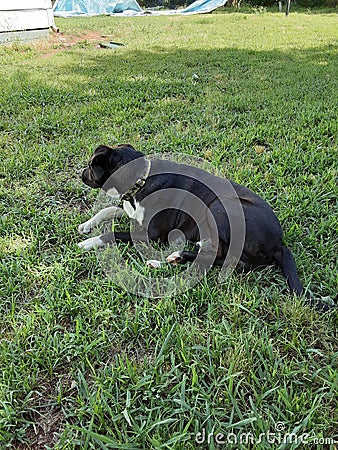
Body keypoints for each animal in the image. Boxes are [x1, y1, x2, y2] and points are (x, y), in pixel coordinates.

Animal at [78, 144, 304, 298]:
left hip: (219, 206)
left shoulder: (152, 234)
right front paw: (86, 225)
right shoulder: (132, 212)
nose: (80, 175)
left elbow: (113, 233)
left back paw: (171, 258)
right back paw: (174, 258)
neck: (140, 180)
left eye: (90, 165)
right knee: (217, 257)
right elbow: (107, 210)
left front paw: (89, 242)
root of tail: (279, 244)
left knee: (229, 260)